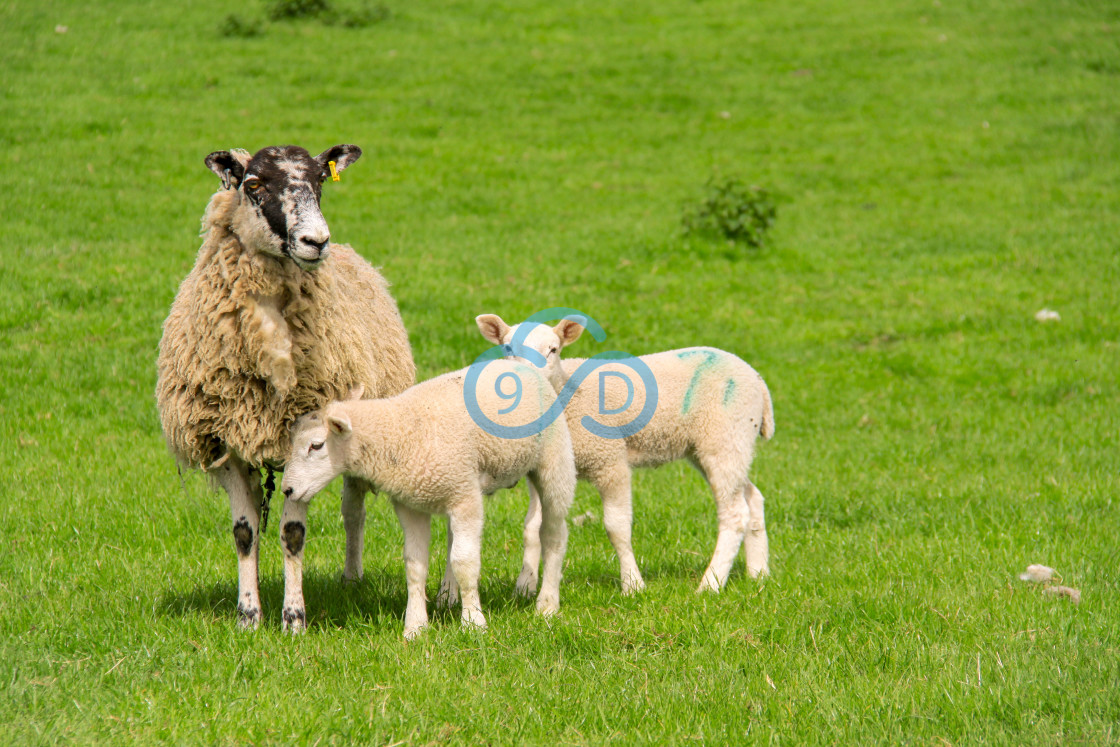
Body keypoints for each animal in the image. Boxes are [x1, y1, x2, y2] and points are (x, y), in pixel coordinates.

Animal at [155, 144, 414, 631]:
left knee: (353, 508)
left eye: (320, 180)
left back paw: (352, 578)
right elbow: (244, 533)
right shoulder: (226, 442)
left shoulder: (305, 433)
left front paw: (294, 619)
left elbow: (293, 534)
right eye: (253, 183)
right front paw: (249, 616)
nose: (317, 241)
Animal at [280, 360, 577, 636]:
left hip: (554, 460)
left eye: (316, 445)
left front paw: (474, 623)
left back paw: (547, 604)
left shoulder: (465, 498)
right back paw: (448, 597)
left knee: (554, 534)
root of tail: (517, 362)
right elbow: (415, 565)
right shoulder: (412, 504)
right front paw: (415, 627)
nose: (287, 490)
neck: (397, 435)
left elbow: (465, 562)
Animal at [477, 313, 775, 595]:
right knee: (752, 497)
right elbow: (532, 528)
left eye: (553, 349)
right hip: (720, 446)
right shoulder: (545, 469)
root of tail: (756, 378)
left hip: (726, 436)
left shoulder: (610, 460)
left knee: (734, 513)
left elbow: (616, 527)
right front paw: (524, 586)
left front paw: (633, 585)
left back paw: (710, 584)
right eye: (507, 348)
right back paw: (758, 574)